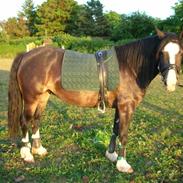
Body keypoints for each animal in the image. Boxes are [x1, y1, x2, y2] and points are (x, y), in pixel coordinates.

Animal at [7, 29, 182, 173]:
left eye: (180, 52)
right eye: (161, 52)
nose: (171, 83)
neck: (129, 67)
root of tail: (26, 55)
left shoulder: (119, 107)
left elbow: (115, 130)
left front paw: (111, 155)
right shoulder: (126, 107)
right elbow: (124, 134)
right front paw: (123, 164)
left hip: (43, 97)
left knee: (36, 120)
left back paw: (38, 149)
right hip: (31, 99)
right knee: (25, 121)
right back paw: (27, 154)